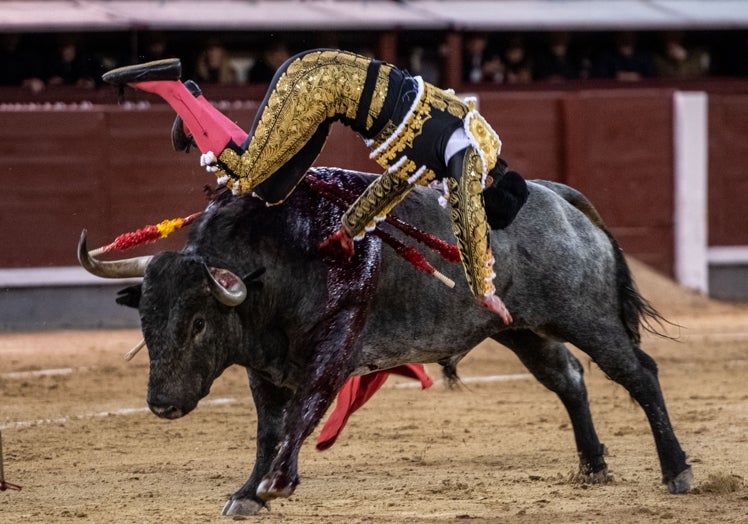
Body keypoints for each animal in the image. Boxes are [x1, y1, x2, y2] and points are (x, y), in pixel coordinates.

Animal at [76, 167, 688, 516]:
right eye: (145, 320)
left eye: (199, 323)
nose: (162, 404)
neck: (281, 262)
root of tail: (556, 197)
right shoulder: (263, 368)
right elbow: (268, 429)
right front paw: (247, 493)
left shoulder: (331, 353)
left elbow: (301, 417)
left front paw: (276, 484)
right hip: (518, 330)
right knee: (569, 378)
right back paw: (592, 466)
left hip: (587, 317)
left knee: (639, 373)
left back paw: (676, 471)